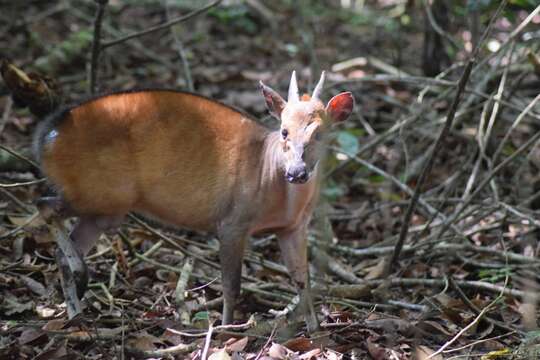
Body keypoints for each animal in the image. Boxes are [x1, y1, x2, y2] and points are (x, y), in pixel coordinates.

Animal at [33, 71, 354, 332]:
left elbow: (303, 280)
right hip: (98, 192)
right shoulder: (232, 221)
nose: (296, 172)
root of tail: (46, 136)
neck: (270, 173)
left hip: (105, 207)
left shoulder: (292, 228)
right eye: (284, 130)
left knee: (62, 246)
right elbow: (232, 285)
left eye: (320, 133)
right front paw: (226, 329)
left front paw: (315, 329)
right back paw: (80, 279)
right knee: (44, 204)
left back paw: (75, 311)